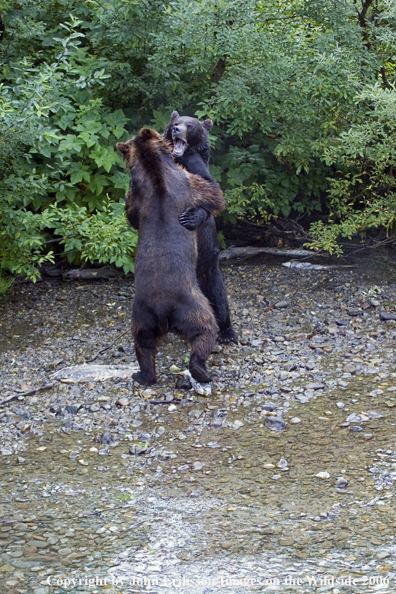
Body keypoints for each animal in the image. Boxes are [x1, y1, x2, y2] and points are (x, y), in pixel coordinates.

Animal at [116, 127, 224, 384]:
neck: (154, 169)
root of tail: (163, 309)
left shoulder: (137, 192)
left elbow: (132, 214)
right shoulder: (186, 180)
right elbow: (213, 193)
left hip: (142, 314)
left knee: (143, 343)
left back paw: (142, 374)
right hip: (191, 306)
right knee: (205, 328)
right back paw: (201, 370)